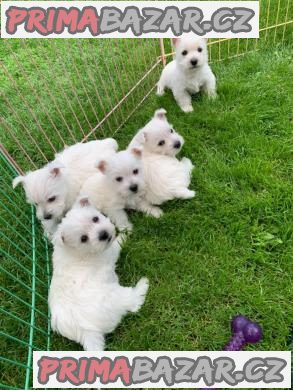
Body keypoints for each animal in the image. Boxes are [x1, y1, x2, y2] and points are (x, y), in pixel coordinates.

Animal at [49, 197, 148, 352]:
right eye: (83, 238)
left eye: (95, 219)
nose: (104, 234)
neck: (75, 251)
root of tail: (86, 332)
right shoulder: (111, 251)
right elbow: (118, 242)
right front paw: (125, 232)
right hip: (117, 296)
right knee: (133, 303)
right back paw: (143, 285)